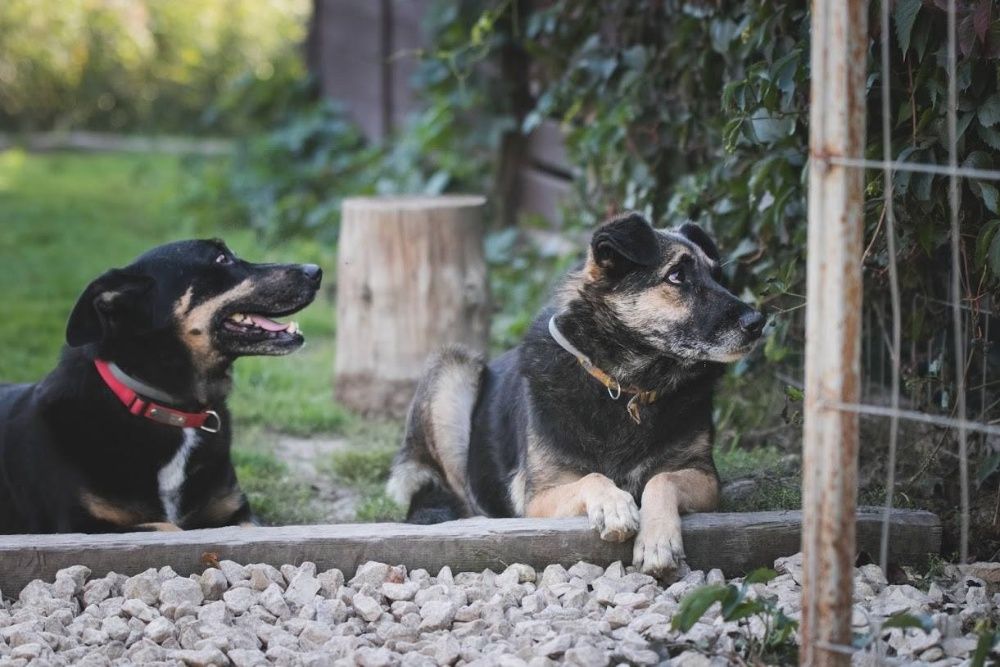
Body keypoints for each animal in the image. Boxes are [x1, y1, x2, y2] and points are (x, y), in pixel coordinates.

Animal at [0, 243, 320, 536]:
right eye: (221, 258)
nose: (315, 271)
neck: (172, 408)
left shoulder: (237, 513)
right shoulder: (81, 525)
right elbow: (169, 527)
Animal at [386, 215, 760, 580]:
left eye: (717, 275)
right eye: (677, 275)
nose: (758, 321)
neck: (627, 385)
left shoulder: (705, 477)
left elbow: (661, 478)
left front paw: (658, 540)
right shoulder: (539, 497)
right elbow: (592, 478)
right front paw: (613, 504)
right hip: (451, 370)